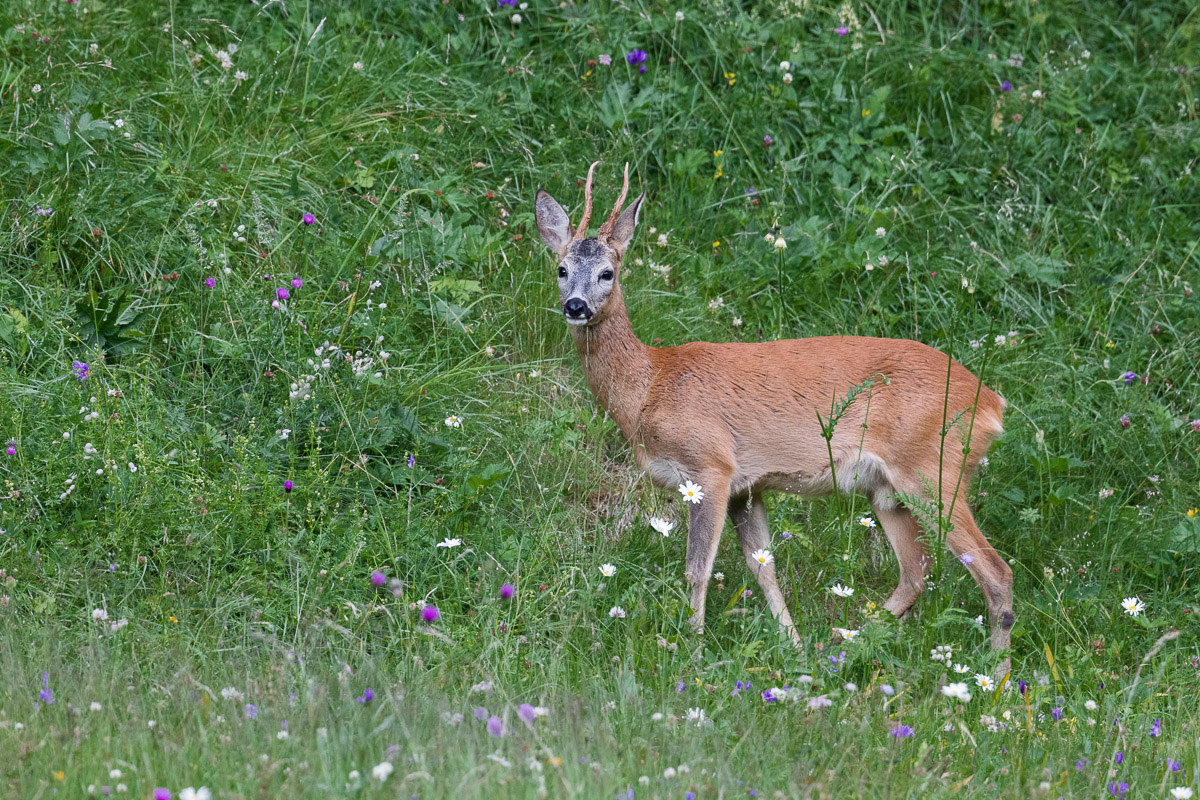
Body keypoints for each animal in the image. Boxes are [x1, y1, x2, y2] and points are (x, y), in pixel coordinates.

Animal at [534, 161, 1013, 675]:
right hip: (890, 492)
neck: (650, 386)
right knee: (916, 572)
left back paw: (997, 679)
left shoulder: (711, 465)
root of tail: (991, 403)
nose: (575, 306)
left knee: (995, 571)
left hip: (932, 470)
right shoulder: (748, 487)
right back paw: (839, 650)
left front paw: (693, 654)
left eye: (607, 272)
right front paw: (792, 644)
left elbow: (697, 568)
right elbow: (764, 568)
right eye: (561, 268)